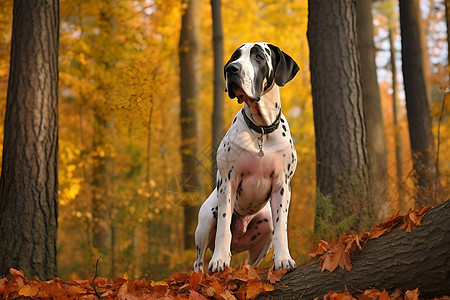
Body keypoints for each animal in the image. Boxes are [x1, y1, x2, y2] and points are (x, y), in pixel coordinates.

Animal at [192, 42, 298, 274]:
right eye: (235, 56)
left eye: (258, 56)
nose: (231, 69)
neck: (261, 129)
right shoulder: (227, 182)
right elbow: (224, 227)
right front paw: (219, 260)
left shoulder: (282, 186)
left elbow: (282, 229)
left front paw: (284, 259)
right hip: (205, 222)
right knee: (198, 261)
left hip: (265, 228)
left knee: (252, 261)